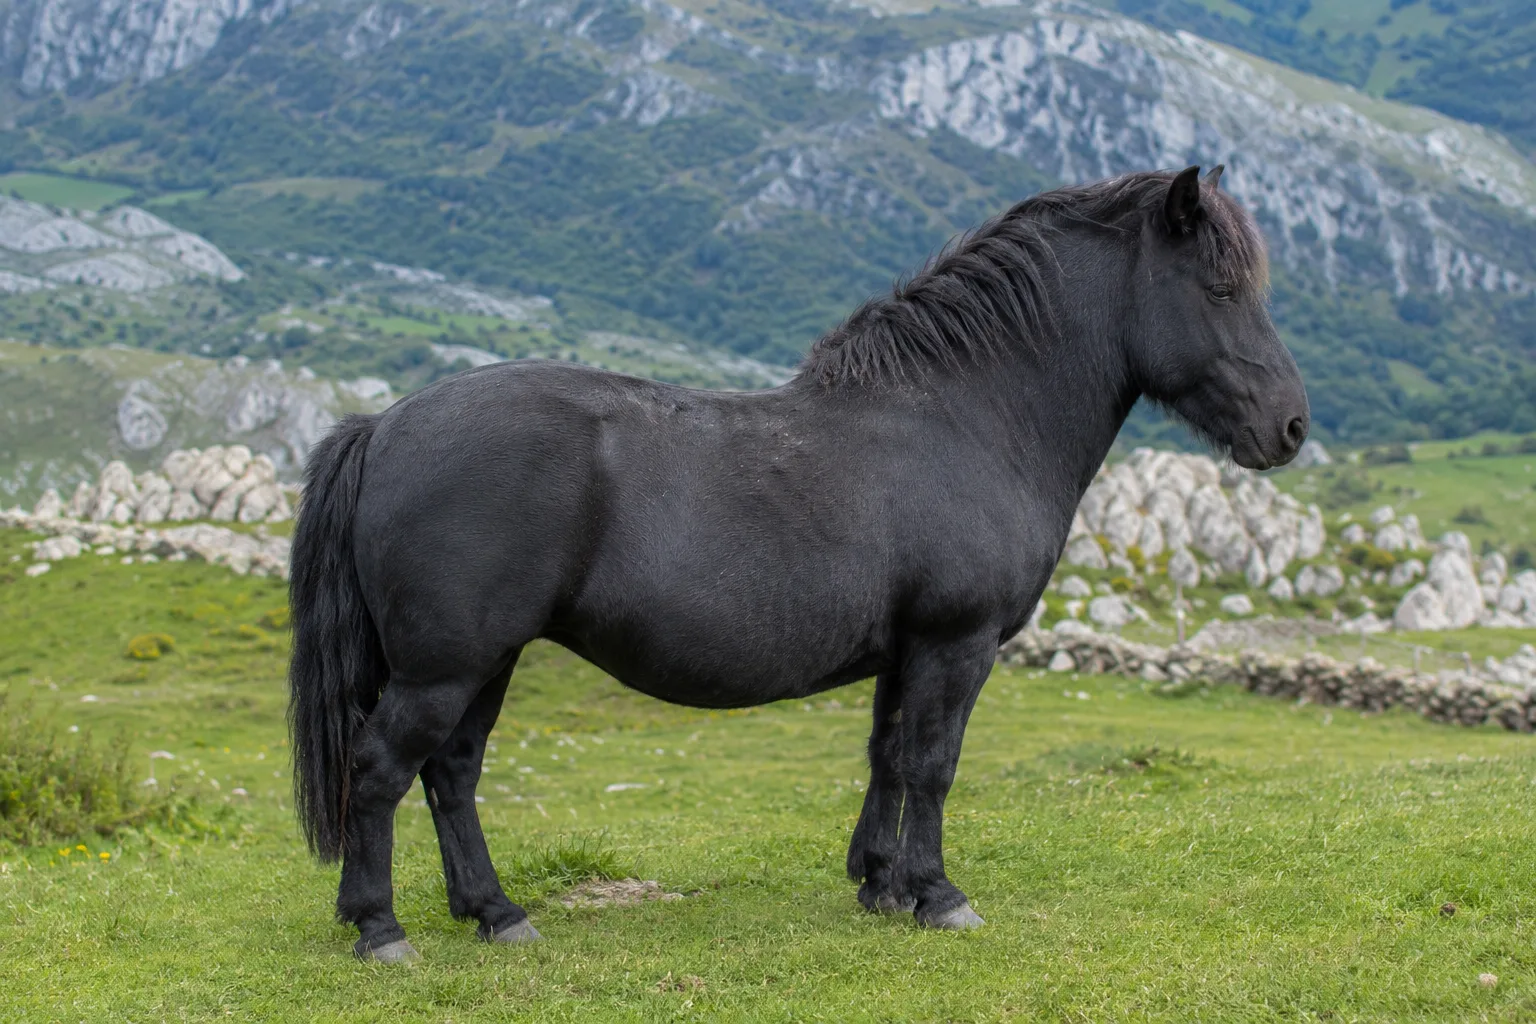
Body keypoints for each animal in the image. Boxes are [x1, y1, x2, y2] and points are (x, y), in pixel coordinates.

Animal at [288, 165, 1308, 961]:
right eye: (1220, 290)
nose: (1291, 428)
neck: (965, 418)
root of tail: (386, 424)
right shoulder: (957, 644)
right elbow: (933, 764)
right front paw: (940, 895)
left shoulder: (908, 651)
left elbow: (887, 758)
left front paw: (881, 885)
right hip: (445, 667)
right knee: (380, 769)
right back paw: (380, 929)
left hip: (484, 662)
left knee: (450, 775)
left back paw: (496, 913)